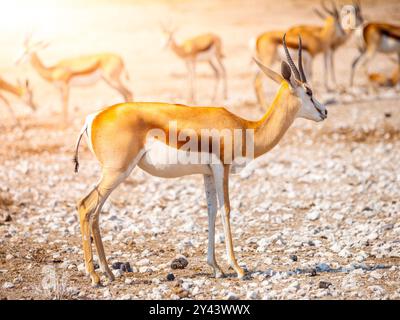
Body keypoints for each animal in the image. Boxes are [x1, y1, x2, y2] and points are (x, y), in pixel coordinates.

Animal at [73, 35, 326, 284]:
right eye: (309, 92)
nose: (324, 112)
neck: (246, 127)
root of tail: (92, 118)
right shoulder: (222, 167)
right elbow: (225, 209)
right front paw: (238, 268)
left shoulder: (207, 173)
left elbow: (211, 210)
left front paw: (216, 267)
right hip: (117, 172)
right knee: (85, 206)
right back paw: (94, 276)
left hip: (116, 174)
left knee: (95, 213)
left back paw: (107, 272)